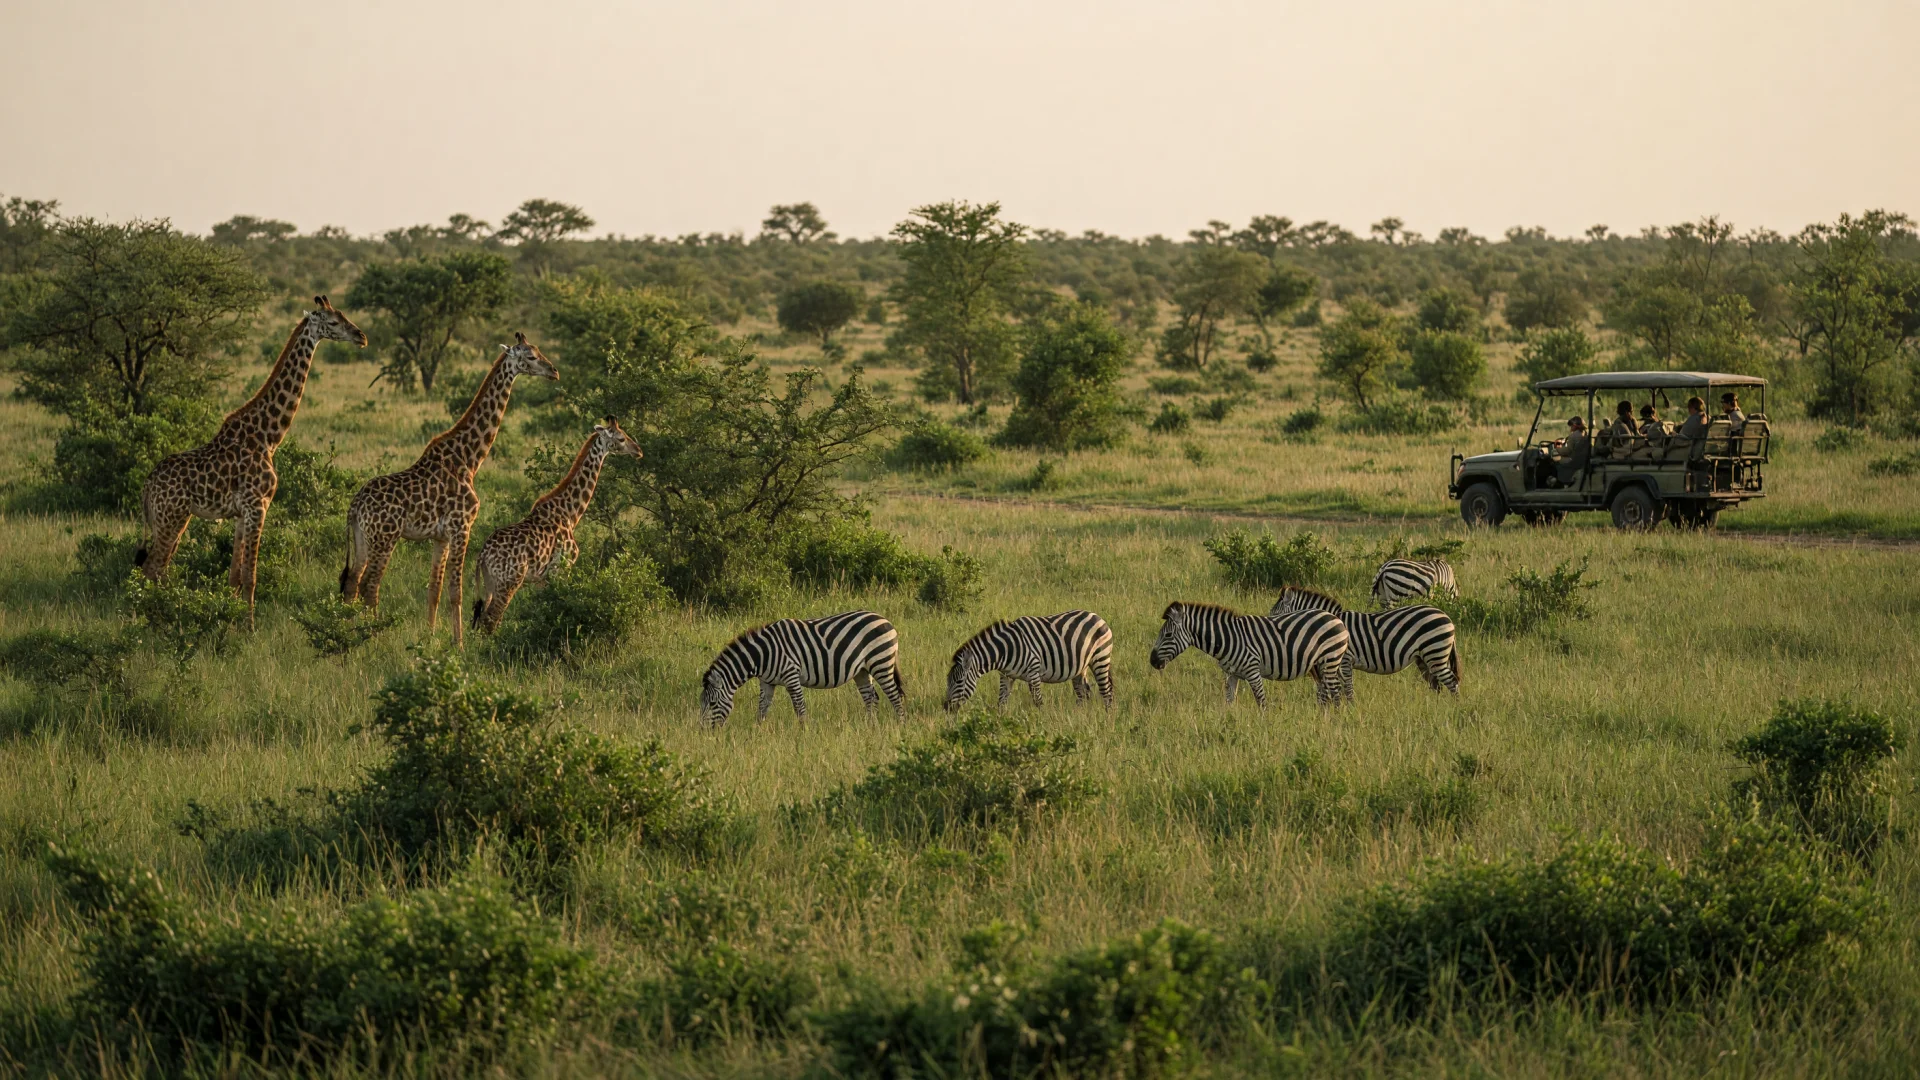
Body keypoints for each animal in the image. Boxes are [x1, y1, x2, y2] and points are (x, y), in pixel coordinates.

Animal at [699, 610, 905, 727]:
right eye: (702, 703)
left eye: (713, 704)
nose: (704, 732)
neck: (764, 654)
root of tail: (885, 620)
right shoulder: (767, 682)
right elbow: (762, 708)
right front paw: (757, 731)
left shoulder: (791, 675)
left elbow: (799, 707)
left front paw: (803, 733)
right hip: (862, 670)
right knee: (871, 697)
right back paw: (871, 727)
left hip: (881, 661)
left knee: (895, 696)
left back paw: (900, 726)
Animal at [945, 610, 1115, 712]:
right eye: (948, 681)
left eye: (959, 681)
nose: (946, 707)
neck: (1006, 650)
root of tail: (1097, 616)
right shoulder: (1006, 676)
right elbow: (1001, 702)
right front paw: (998, 725)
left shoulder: (1033, 671)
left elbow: (1038, 701)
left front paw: (1042, 724)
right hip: (1081, 667)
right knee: (1084, 693)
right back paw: (1080, 717)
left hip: (1100, 658)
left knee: (1106, 691)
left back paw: (1107, 720)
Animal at [1148, 601, 1349, 710]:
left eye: (1168, 635)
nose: (1152, 661)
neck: (1228, 639)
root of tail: (1336, 618)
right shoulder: (1231, 674)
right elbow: (1229, 701)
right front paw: (1228, 725)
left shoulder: (1253, 671)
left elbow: (1261, 701)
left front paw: (1264, 728)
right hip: (1318, 665)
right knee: (1325, 691)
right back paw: (1322, 717)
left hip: (1330, 659)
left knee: (1336, 691)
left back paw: (1334, 721)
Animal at [1270, 586, 1461, 697]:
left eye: (1273, 613)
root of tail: (1446, 616)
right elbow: (1340, 687)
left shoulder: (1345, 660)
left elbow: (1347, 687)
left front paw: (1349, 710)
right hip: (1425, 657)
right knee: (1437, 684)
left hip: (1435, 652)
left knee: (1451, 681)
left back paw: (1452, 709)